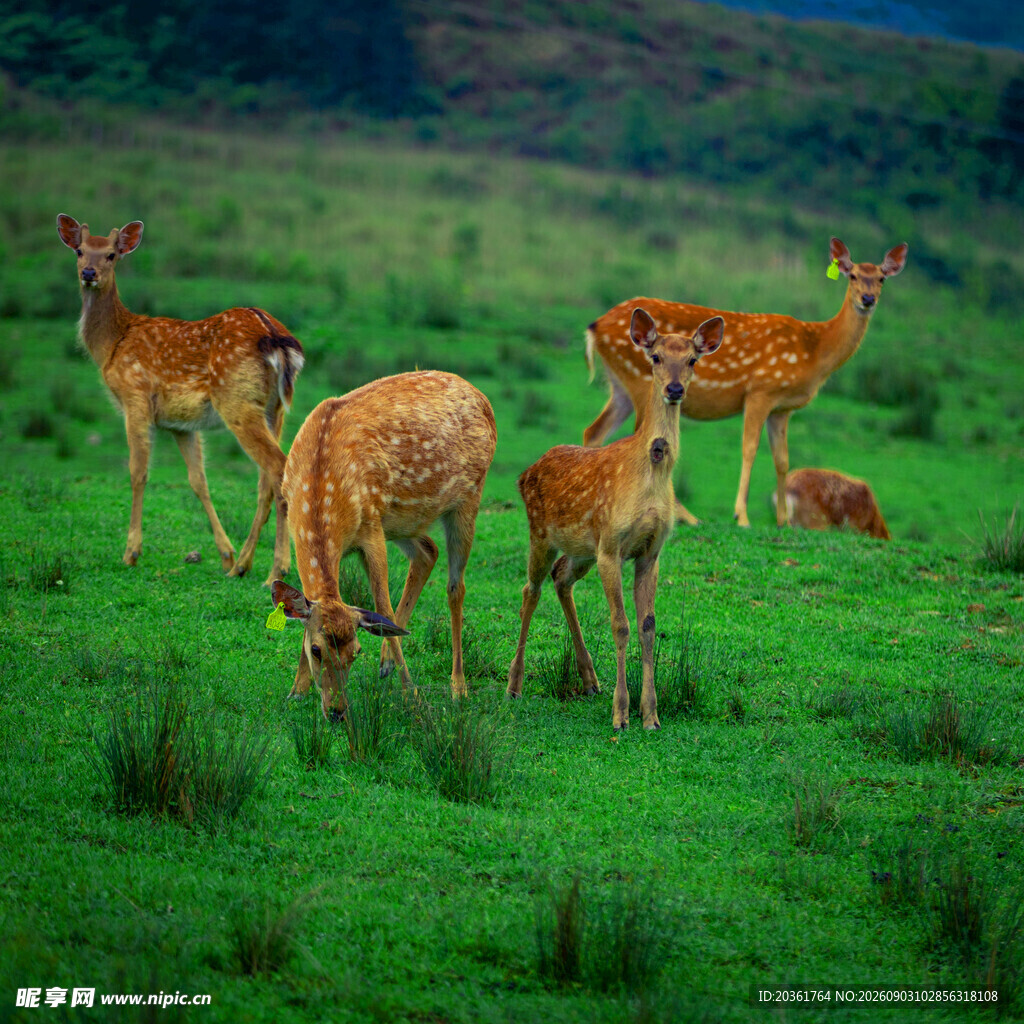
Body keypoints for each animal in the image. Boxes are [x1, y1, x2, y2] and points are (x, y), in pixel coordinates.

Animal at [56, 214, 304, 584]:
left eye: (112, 254)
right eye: (79, 250)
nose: (89, 273)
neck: (112, 344)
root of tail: (274, 335)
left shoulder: (135, 397)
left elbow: (138, 472)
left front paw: (131, 553)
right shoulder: (180, 424)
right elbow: (198, 480)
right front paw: (226, 555)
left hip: (237, 400)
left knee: (277, 467)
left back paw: (275, 570)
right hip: (275, 408)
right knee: (266, 480)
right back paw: (245, 565)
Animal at [269, 370, 497, 720]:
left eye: (355, 652)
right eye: (316, 649)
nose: (337, 711)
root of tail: (483, 399)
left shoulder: (371, 529)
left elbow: (382, 604)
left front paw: (413, 695)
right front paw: (296, 690)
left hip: (469, 497)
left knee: (455, 587)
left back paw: (458, 687)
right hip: (404, 521)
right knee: (428, 551)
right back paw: (386, 661)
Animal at [507, 309, 724, 731]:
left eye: (692, 359)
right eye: (655, 356)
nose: (674, 388)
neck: (650, 476)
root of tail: (525, 472)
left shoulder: (650, 552)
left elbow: (648, 626)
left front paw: (651, 714)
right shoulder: (611, 546)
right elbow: (620, 625)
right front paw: (621, 714)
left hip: (581, 549)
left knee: (561, 578)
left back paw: (589, 679)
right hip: (541, 532)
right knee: (530, 591)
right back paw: (514, 684)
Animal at [582, 238, 908, 528]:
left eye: (881, 279)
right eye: (852, 275)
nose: (868, 299)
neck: (814, 351)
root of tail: (594, 325)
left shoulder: (783, 408)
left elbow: (782, 459)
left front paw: (783, 521)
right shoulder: (761, 390)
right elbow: (750, 449)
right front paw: (742, 516)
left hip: (621, 387)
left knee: (594, 431)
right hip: (640, 381)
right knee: (643, 438)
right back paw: (686, 516)